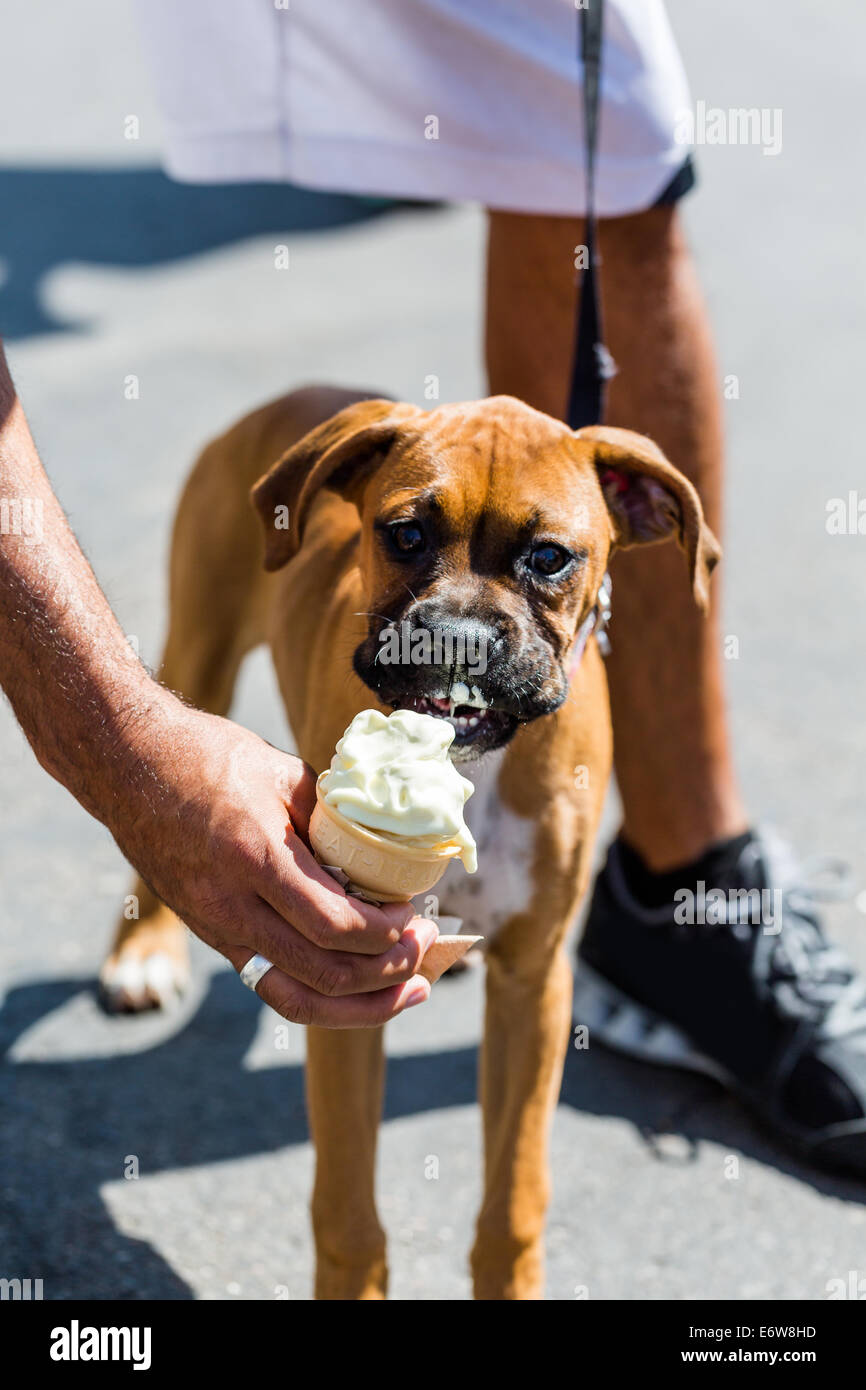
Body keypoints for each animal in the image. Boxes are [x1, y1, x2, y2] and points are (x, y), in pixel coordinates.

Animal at [100, 389, 717, 1301]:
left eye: (550, 558)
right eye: (406, 535)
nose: (456, 635)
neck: (475, 763)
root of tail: (297, 394)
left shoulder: (534, 984)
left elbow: (513, 1198)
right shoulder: (343, 985)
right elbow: (349, 1212)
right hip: (197, 655)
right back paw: (141, 954)